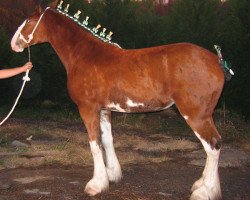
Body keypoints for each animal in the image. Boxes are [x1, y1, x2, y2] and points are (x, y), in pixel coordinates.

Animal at [10, 3, 225, 200]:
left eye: (28, 21)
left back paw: (204, 191)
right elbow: (107, 140)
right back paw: (201, 185)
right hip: (204, 115)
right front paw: (112, 175)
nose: (14, 44)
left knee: (213, 145)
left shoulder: (88, 109)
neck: (85, 55)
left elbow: (94, 143)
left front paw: (96, 184)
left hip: (195, 115)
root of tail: (217, 61)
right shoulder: (104, 110)